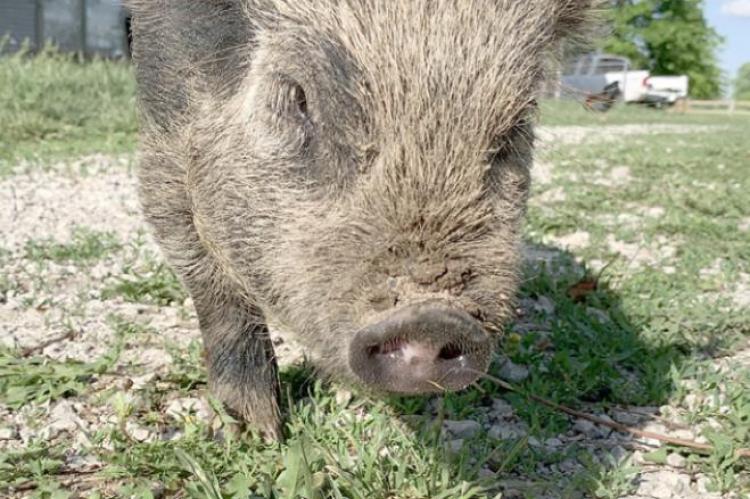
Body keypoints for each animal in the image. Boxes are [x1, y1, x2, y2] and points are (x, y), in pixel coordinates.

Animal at [128, 0, 597, 439]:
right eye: (299, 97)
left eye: (513, 131)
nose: (430, 317)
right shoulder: (164, 134)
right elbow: (209, 279)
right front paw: (253, 433)